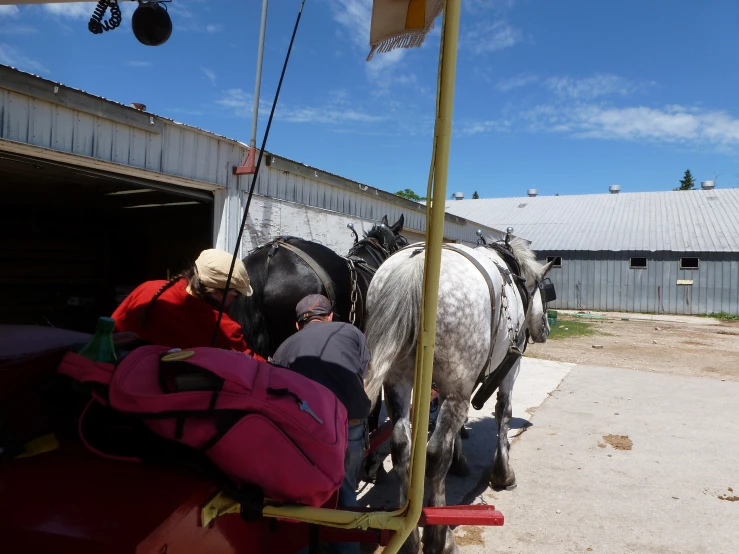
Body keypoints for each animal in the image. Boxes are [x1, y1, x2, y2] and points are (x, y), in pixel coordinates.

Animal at [362, 236, 552, 552]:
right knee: (436, 453)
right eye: (546, 291)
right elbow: (503, 413)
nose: (545, 331)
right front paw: (503, 473)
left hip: (398, 379)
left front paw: (460, 460)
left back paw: (409, 536)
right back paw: (440, 538)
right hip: (457, 382)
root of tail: (416, 264)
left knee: (402, 447)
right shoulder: (508, 368)